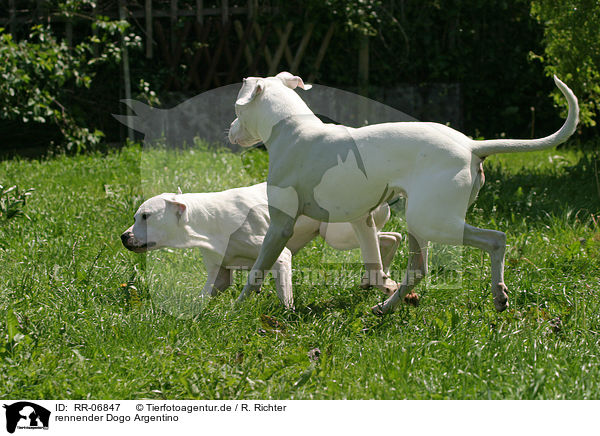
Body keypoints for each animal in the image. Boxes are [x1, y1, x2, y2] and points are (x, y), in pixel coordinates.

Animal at [120, 182, 404, 308]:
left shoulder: (280, 256)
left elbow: (285, 296)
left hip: (338, 234)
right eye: (135, 217)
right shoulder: (219, 275)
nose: (123, 236)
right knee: (390, 238)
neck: (209, 219)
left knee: (386, 240)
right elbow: (203, 295)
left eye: (145, 216)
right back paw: (373, 280)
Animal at [229, 73, 576, 316]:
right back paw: (387, 307)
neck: (294, 131)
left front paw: (235, 307)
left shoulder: (280, 226)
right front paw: (377, 284)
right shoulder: (363, 220)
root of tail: (471, 146)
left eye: (236, 108)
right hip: (420, 223)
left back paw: (499, 294)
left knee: (496, 239)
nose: (229, 129)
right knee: (419, 270)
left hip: (433, 221)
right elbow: (373, 258)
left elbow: (258, 268)